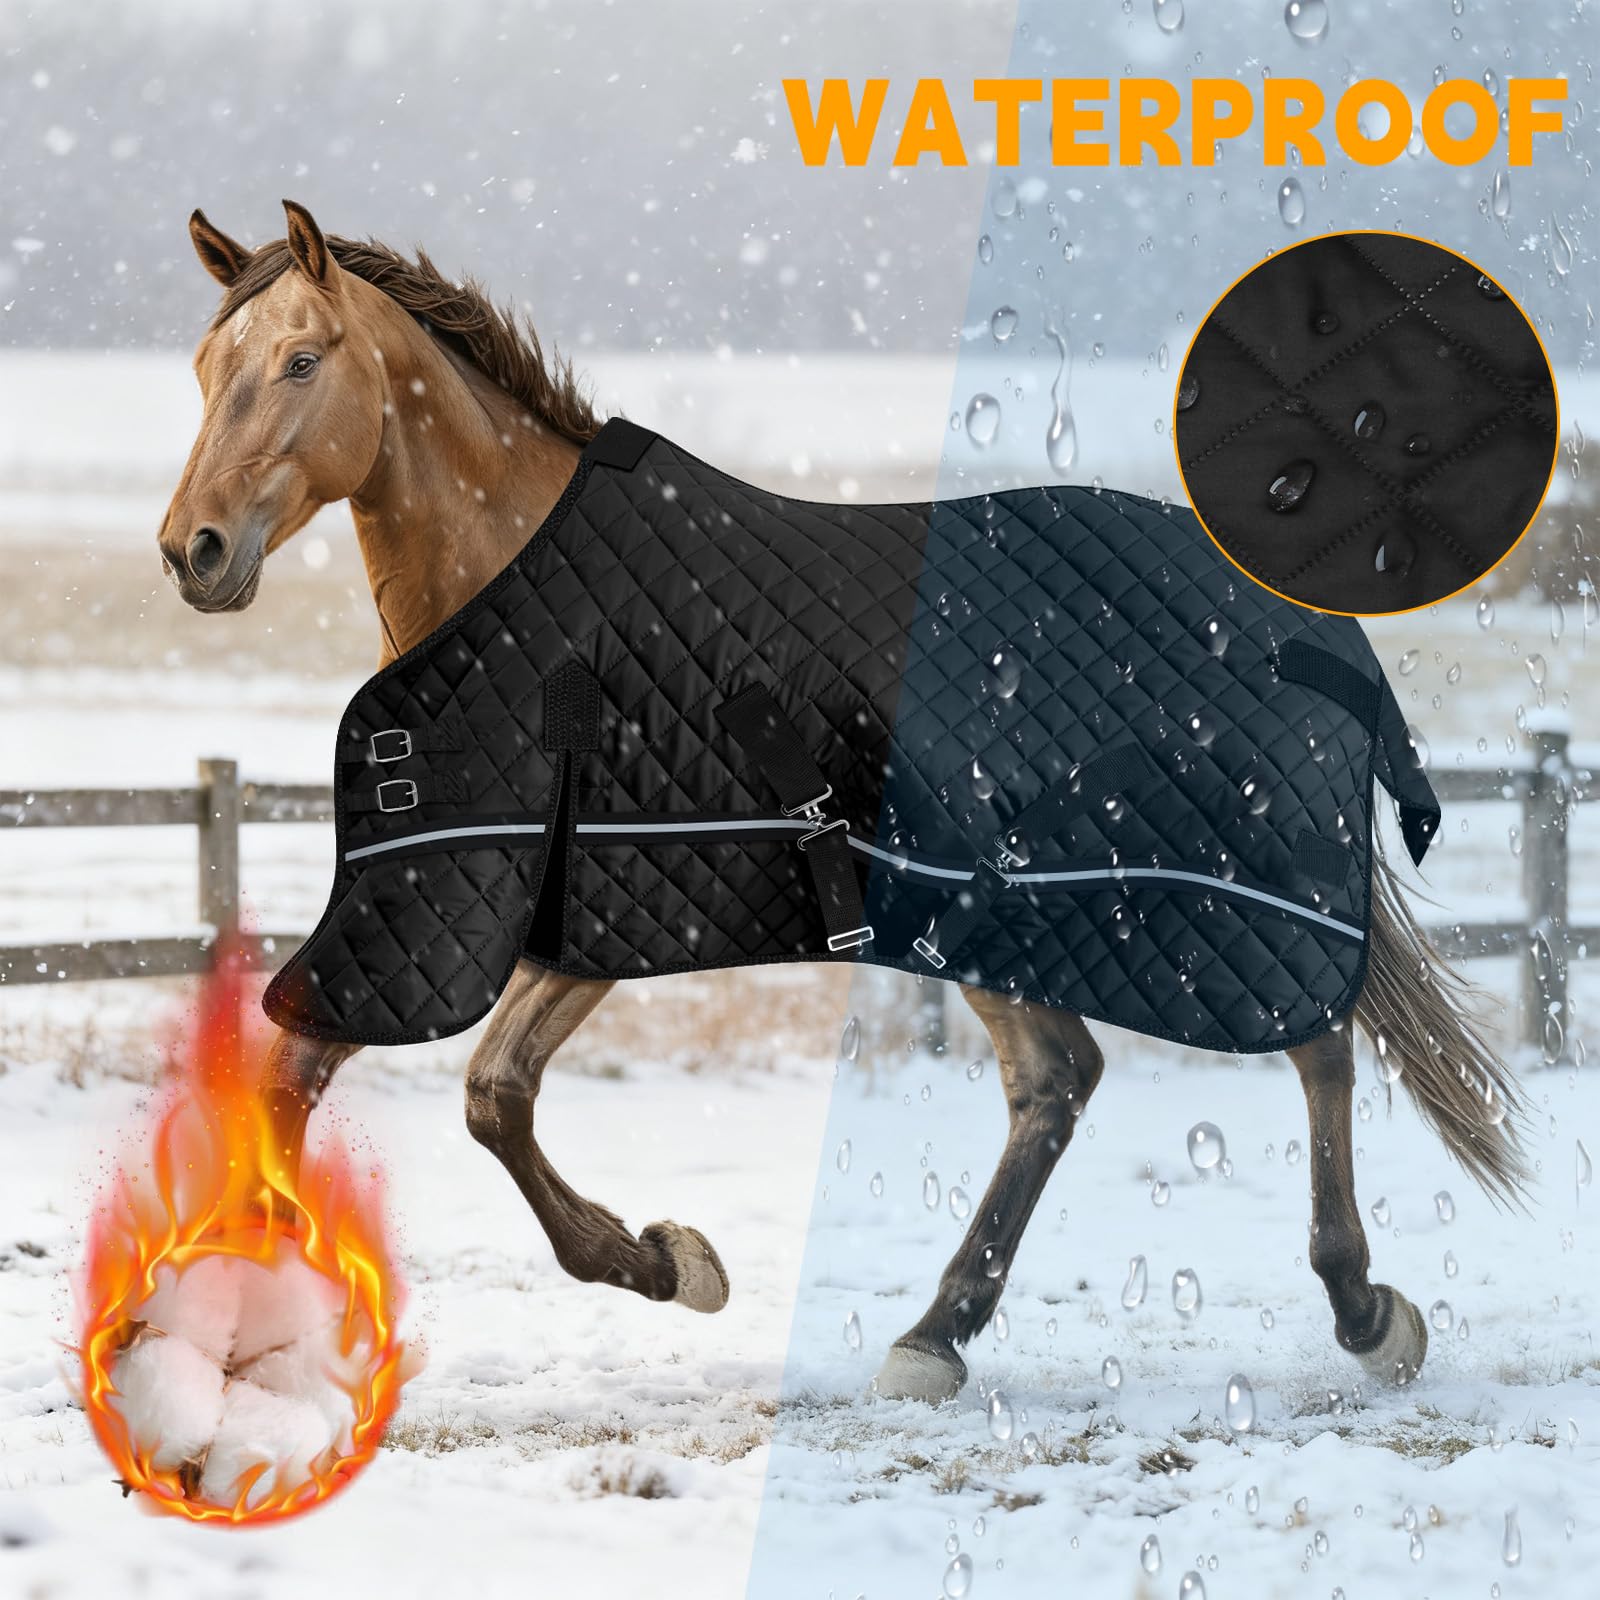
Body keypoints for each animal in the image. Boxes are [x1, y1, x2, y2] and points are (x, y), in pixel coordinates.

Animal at [157, 200, 1529, 1405]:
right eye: (205, 363)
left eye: (300, 360)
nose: (194, 551)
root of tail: (1279, 604)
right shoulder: (494, 907)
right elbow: (335, 1084)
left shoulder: (600, 896)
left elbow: (483, 1094)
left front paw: (670, 1263)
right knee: (1070, 1078)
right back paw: (945, 1334)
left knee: (1290, 1045)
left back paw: (1355, 1313)